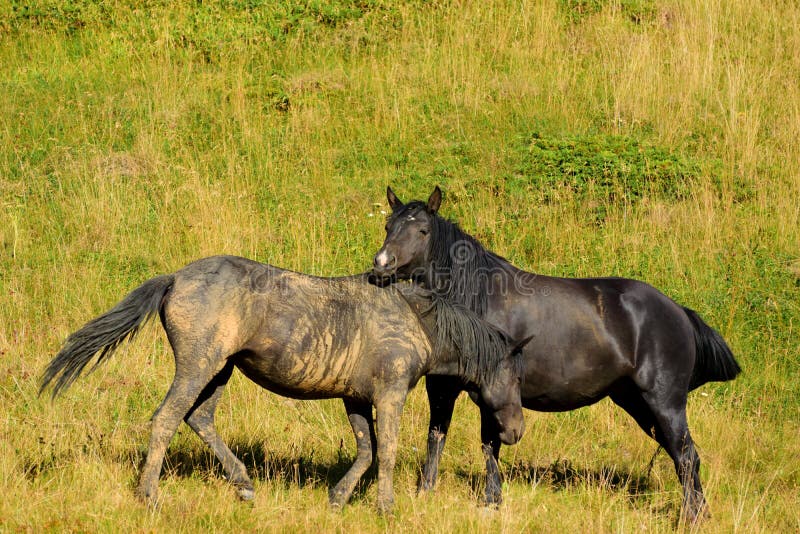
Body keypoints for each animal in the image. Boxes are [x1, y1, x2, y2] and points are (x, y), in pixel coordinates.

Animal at [42, 255, 532, 516]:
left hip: (220, 371)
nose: (515, 433)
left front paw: (337, 500)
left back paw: (244, 484)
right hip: (199, 365)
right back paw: (149, 496)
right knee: (166, 419)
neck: (416, 320)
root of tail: (176, 278)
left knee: (199, 418)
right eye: (514, 379)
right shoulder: (389, 396)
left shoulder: (355, 398)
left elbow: (366, 451)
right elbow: (388, 452)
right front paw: (386, 508)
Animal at [372, 188, 740, 524]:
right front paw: (425, 493)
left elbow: (490, 444)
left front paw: (492, 502)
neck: (477, 301)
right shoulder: (442, 387)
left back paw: (691, 518)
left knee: (686, 454)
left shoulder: (494, 392)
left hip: (664, 401)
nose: (381, 266)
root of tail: (679, 312)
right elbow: (437, 437)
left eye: (422, 230)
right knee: (681, 454)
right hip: (636, 402)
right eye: (388, 225)